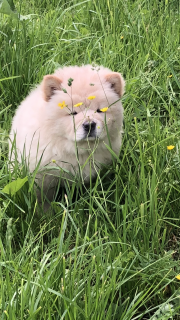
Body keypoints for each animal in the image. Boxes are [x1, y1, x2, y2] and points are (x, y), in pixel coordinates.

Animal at [9, 65, 125, 204]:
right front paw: (46, 210)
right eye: (72, 113)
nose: (89, 125)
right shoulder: (42, 178)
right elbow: (43, 200)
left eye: (100, 110)